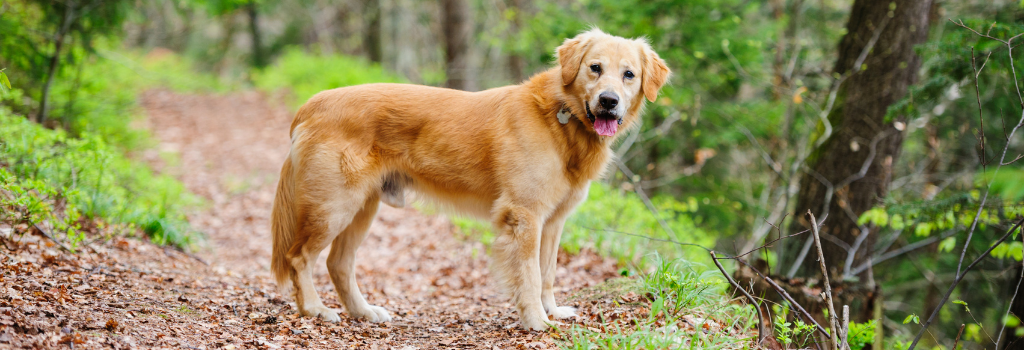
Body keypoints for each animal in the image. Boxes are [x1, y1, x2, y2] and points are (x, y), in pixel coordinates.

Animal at [272, 28, 671, 329]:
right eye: (594, 68)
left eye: (629, 75)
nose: (609, 101)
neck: (562, 117)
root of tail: (311, 104)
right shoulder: (524, 216)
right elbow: (529, 275)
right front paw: (537, 321)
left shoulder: (553, 221)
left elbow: (547, 273)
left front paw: (552, 311)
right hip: (333, 207)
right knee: (299, 258)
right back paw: (314, 309)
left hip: (361, 209)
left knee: (338, 264)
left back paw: (364, 311)